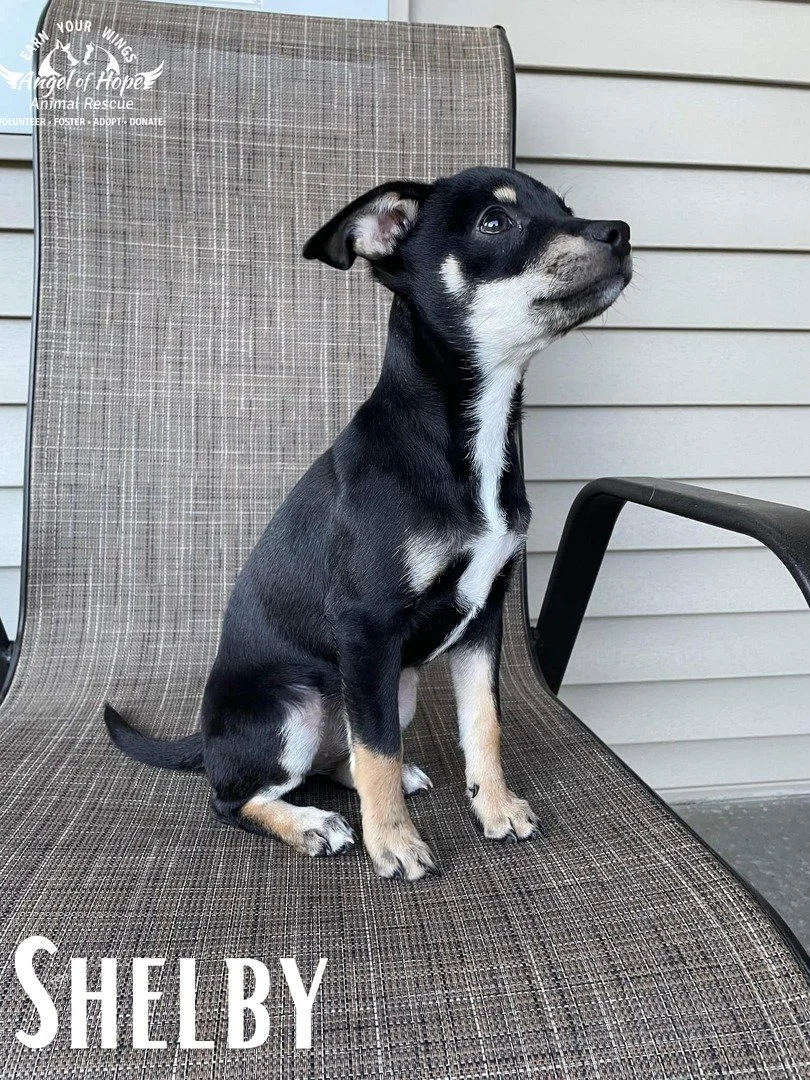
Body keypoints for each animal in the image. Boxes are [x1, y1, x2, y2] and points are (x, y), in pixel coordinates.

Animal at [105, 166, 632, 881]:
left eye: (564, 208)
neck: (466, 439)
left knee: (344, 752)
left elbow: (482, 724)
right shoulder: (367, 627)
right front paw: (396, 845)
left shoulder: (483, 618)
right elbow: (377, 749)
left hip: (392, 688)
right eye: (495, 223)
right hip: (294, 713)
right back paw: (310, 825)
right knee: (238, 794)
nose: (621, 232)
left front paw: (494, 806)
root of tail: (207, 736)